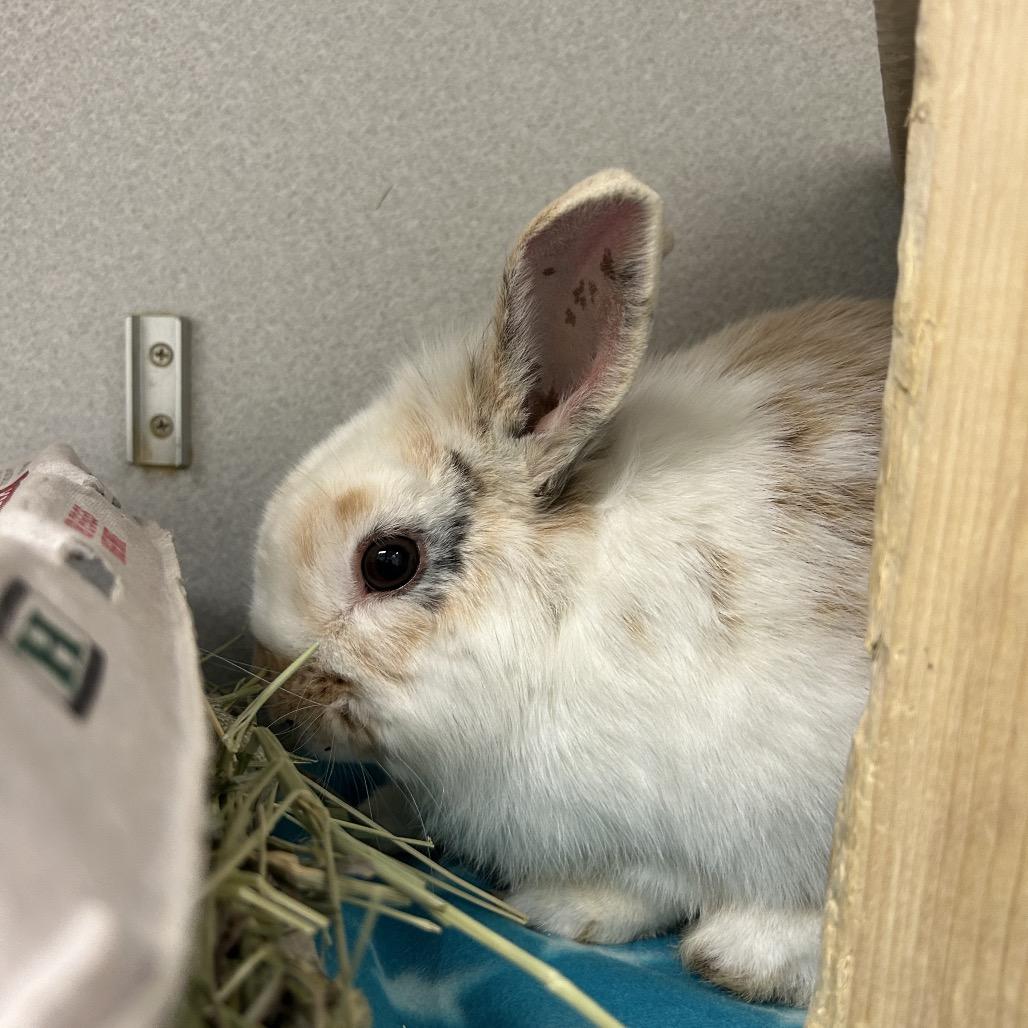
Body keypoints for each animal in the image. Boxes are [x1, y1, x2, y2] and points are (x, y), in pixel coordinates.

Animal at [250, 169, 891, 1007]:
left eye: (387, 562)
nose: (281, 708)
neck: (556, 603)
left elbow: (659, 886)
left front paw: (567, 911)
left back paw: (740, 956)